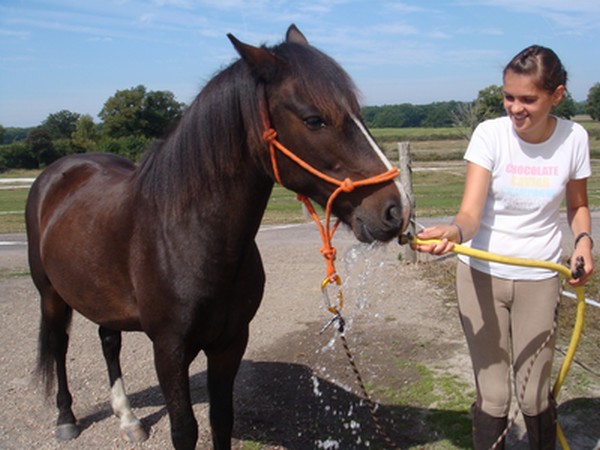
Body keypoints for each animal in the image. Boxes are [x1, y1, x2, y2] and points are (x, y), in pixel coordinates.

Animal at [25, 25, 410, 450]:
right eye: (314, 120)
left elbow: (221, 419)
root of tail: (59, 171)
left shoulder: (230, 342)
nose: (396, 209)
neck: (192, 239)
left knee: (109, 340)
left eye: (358, 113)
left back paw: (128, 419)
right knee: (59, 346)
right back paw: (66, 419)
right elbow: (185, 429)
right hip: (50, 293)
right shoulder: (169, 350)